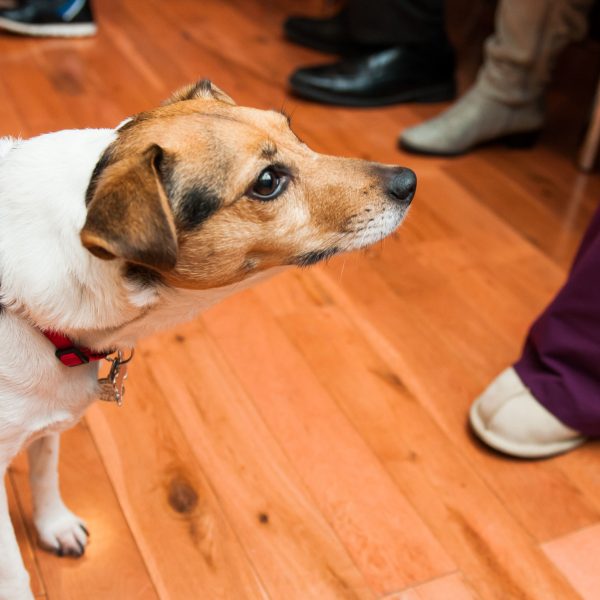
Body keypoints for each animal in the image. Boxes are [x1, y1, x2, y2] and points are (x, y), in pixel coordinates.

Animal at [0, 81, 414, 600]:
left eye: (293, 130)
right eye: (267, 182)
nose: (410, 181)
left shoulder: (45, 425)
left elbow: (44, 471)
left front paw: (54, 525)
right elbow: (13, 567)